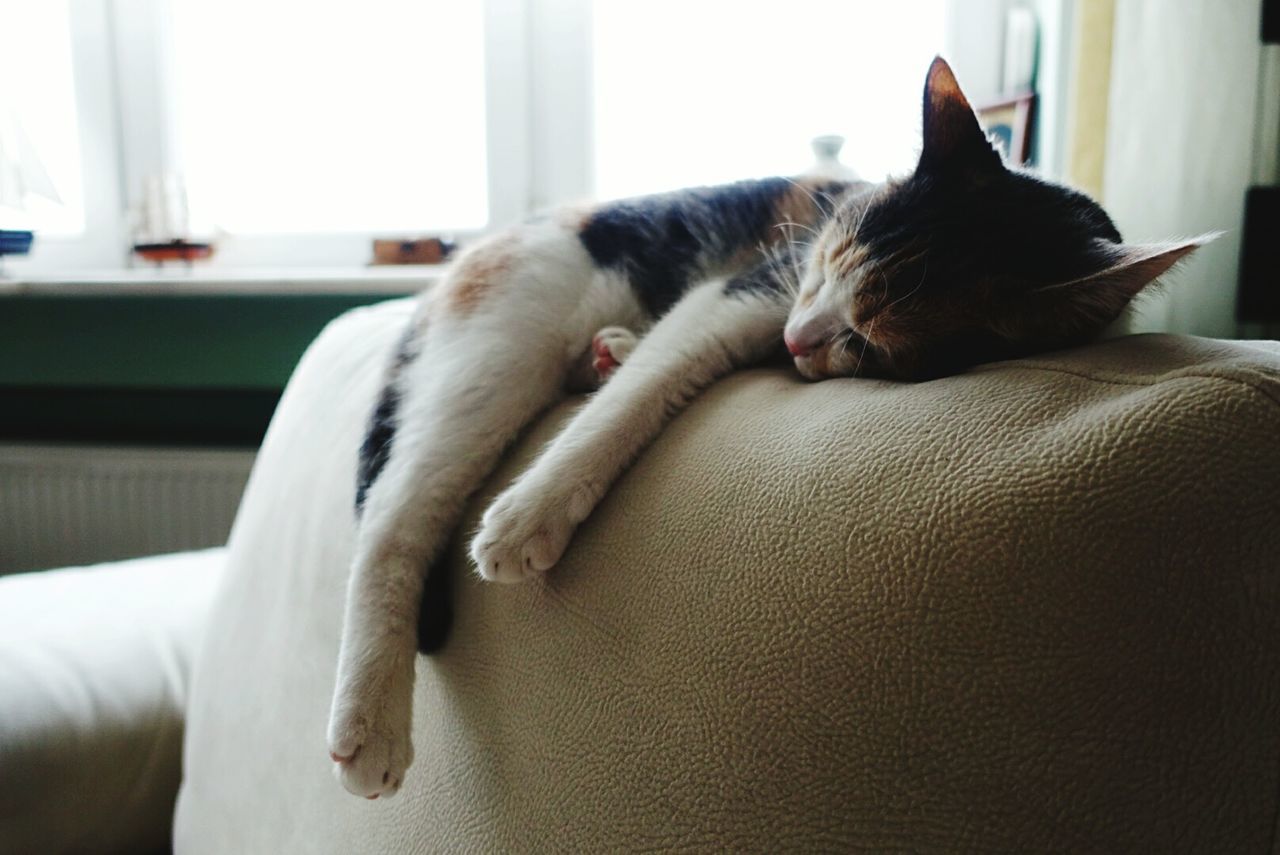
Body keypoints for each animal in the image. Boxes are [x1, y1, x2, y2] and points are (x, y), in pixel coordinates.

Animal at [325, 56, 1203, 798]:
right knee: (396, 516)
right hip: (506, 337)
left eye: (875, 343)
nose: (795, 339)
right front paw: (528, 515)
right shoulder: (751, 285)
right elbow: (636, 399)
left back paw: (609, 350)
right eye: (833, 254)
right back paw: (371, 720)